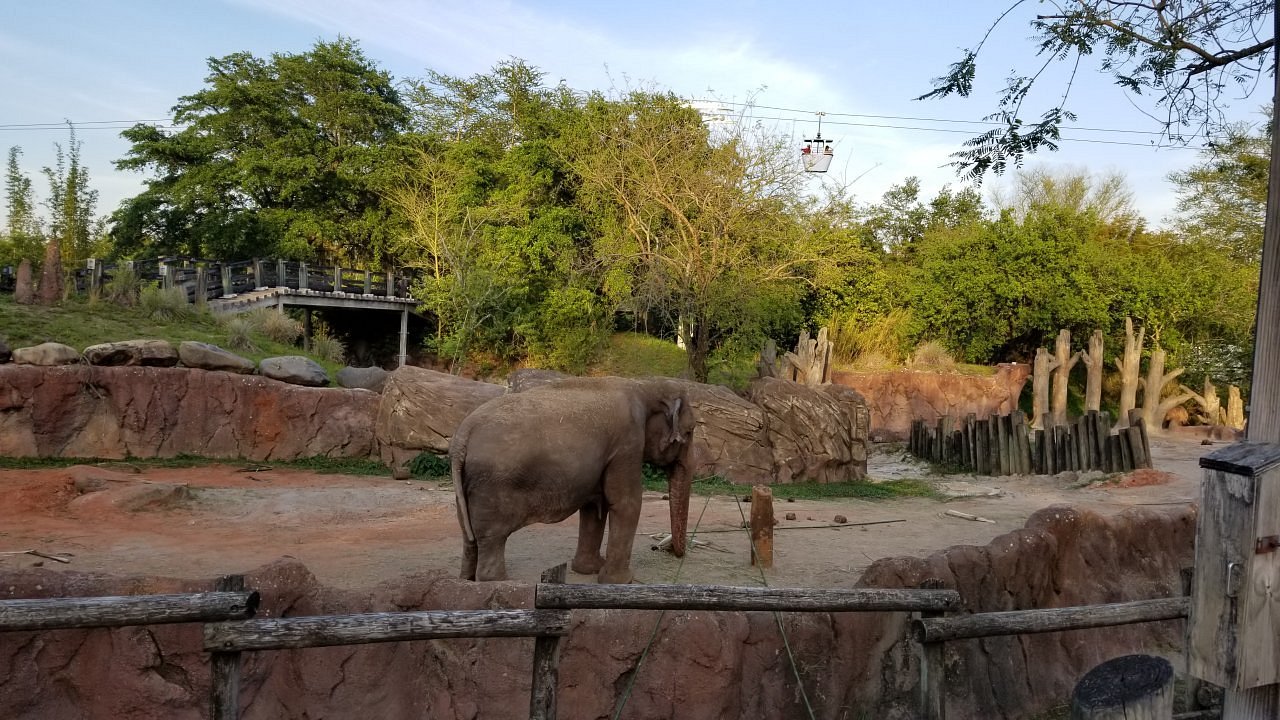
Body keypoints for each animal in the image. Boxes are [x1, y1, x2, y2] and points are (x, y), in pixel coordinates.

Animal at [449, 376, 696, 583]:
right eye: (690, 432)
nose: (668, 549)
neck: (645, 386)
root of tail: (464, 434)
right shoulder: (627, 444)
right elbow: (627, 503)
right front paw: (622, 581)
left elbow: (594, 507)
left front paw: (589, 570)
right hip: (493, 485)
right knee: (492, 537)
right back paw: (497, 582)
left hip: (465, 485)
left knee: (469, 536)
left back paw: (466, 580)